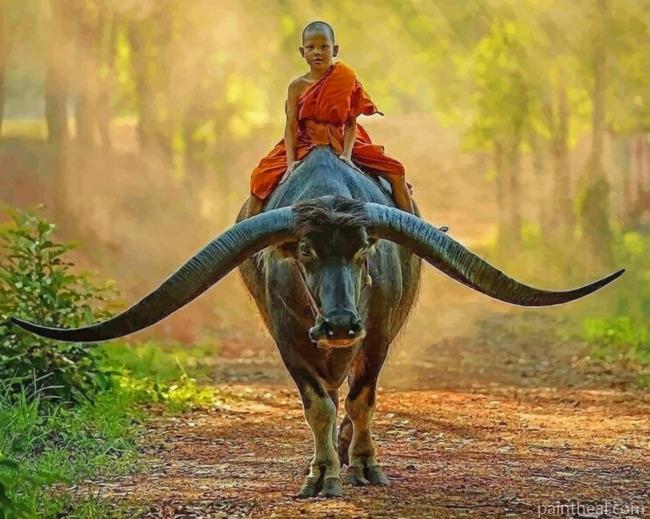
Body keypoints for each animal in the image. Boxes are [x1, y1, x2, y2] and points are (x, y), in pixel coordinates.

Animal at [11, 145, 623, 498]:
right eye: (304, 251)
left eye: (363, 250)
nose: (339, 325)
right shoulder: (288, 339)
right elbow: (318, 406)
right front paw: (322, 473)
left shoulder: (378, 335)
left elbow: (361, 399)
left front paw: (364, 465)